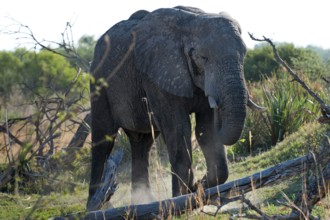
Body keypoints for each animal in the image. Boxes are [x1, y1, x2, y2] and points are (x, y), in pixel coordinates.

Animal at [87, 5, 262, 210]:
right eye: (203, 58)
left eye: (244, 55)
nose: (197, 183)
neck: (193, 22)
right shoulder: (158, 74)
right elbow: (179, 131)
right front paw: (182, 199)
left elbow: (206, 131)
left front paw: (196, 188)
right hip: (99, 83)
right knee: (103, 141)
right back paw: (96, 206)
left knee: (142, 143)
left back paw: (143, 203)